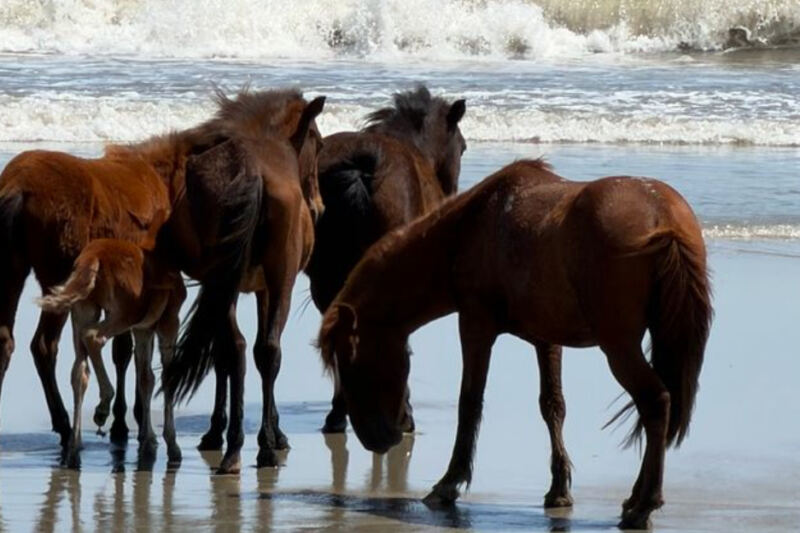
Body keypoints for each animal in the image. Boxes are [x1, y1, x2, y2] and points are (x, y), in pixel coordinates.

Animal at [37, 238, 185, 468]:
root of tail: (93, 257)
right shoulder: (169, 322)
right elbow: (167, 376)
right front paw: (172, 446)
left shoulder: (143, 329)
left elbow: (146, 378)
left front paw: (149, 441)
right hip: (123, 314)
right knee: (93, 337)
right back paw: (102, 407)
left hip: (83, 310)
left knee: (79, 371)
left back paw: (73, 451)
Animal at [161, 89, 326, 473]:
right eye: (318, 142)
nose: (318, 207)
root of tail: (250, 170)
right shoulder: (265, 288)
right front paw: (273, 433)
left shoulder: (224, 285)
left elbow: (226, 354)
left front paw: (216, 432)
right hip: (278, 280)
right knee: (265, 350)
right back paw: (262, 446)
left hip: (226, 280)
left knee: (234, 347)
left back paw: (235, 447)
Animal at [318, 159, 712, 530]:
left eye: (351, 362)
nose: (376, 440)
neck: (470, 229)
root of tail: (664, 216)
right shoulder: (547, 340)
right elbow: (552, 406)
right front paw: (558, 490)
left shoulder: (475, 326)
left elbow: (470, 403)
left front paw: (449, 483)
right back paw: (634, 500)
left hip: (619, 347)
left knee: (656, 402)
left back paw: (643, 505)